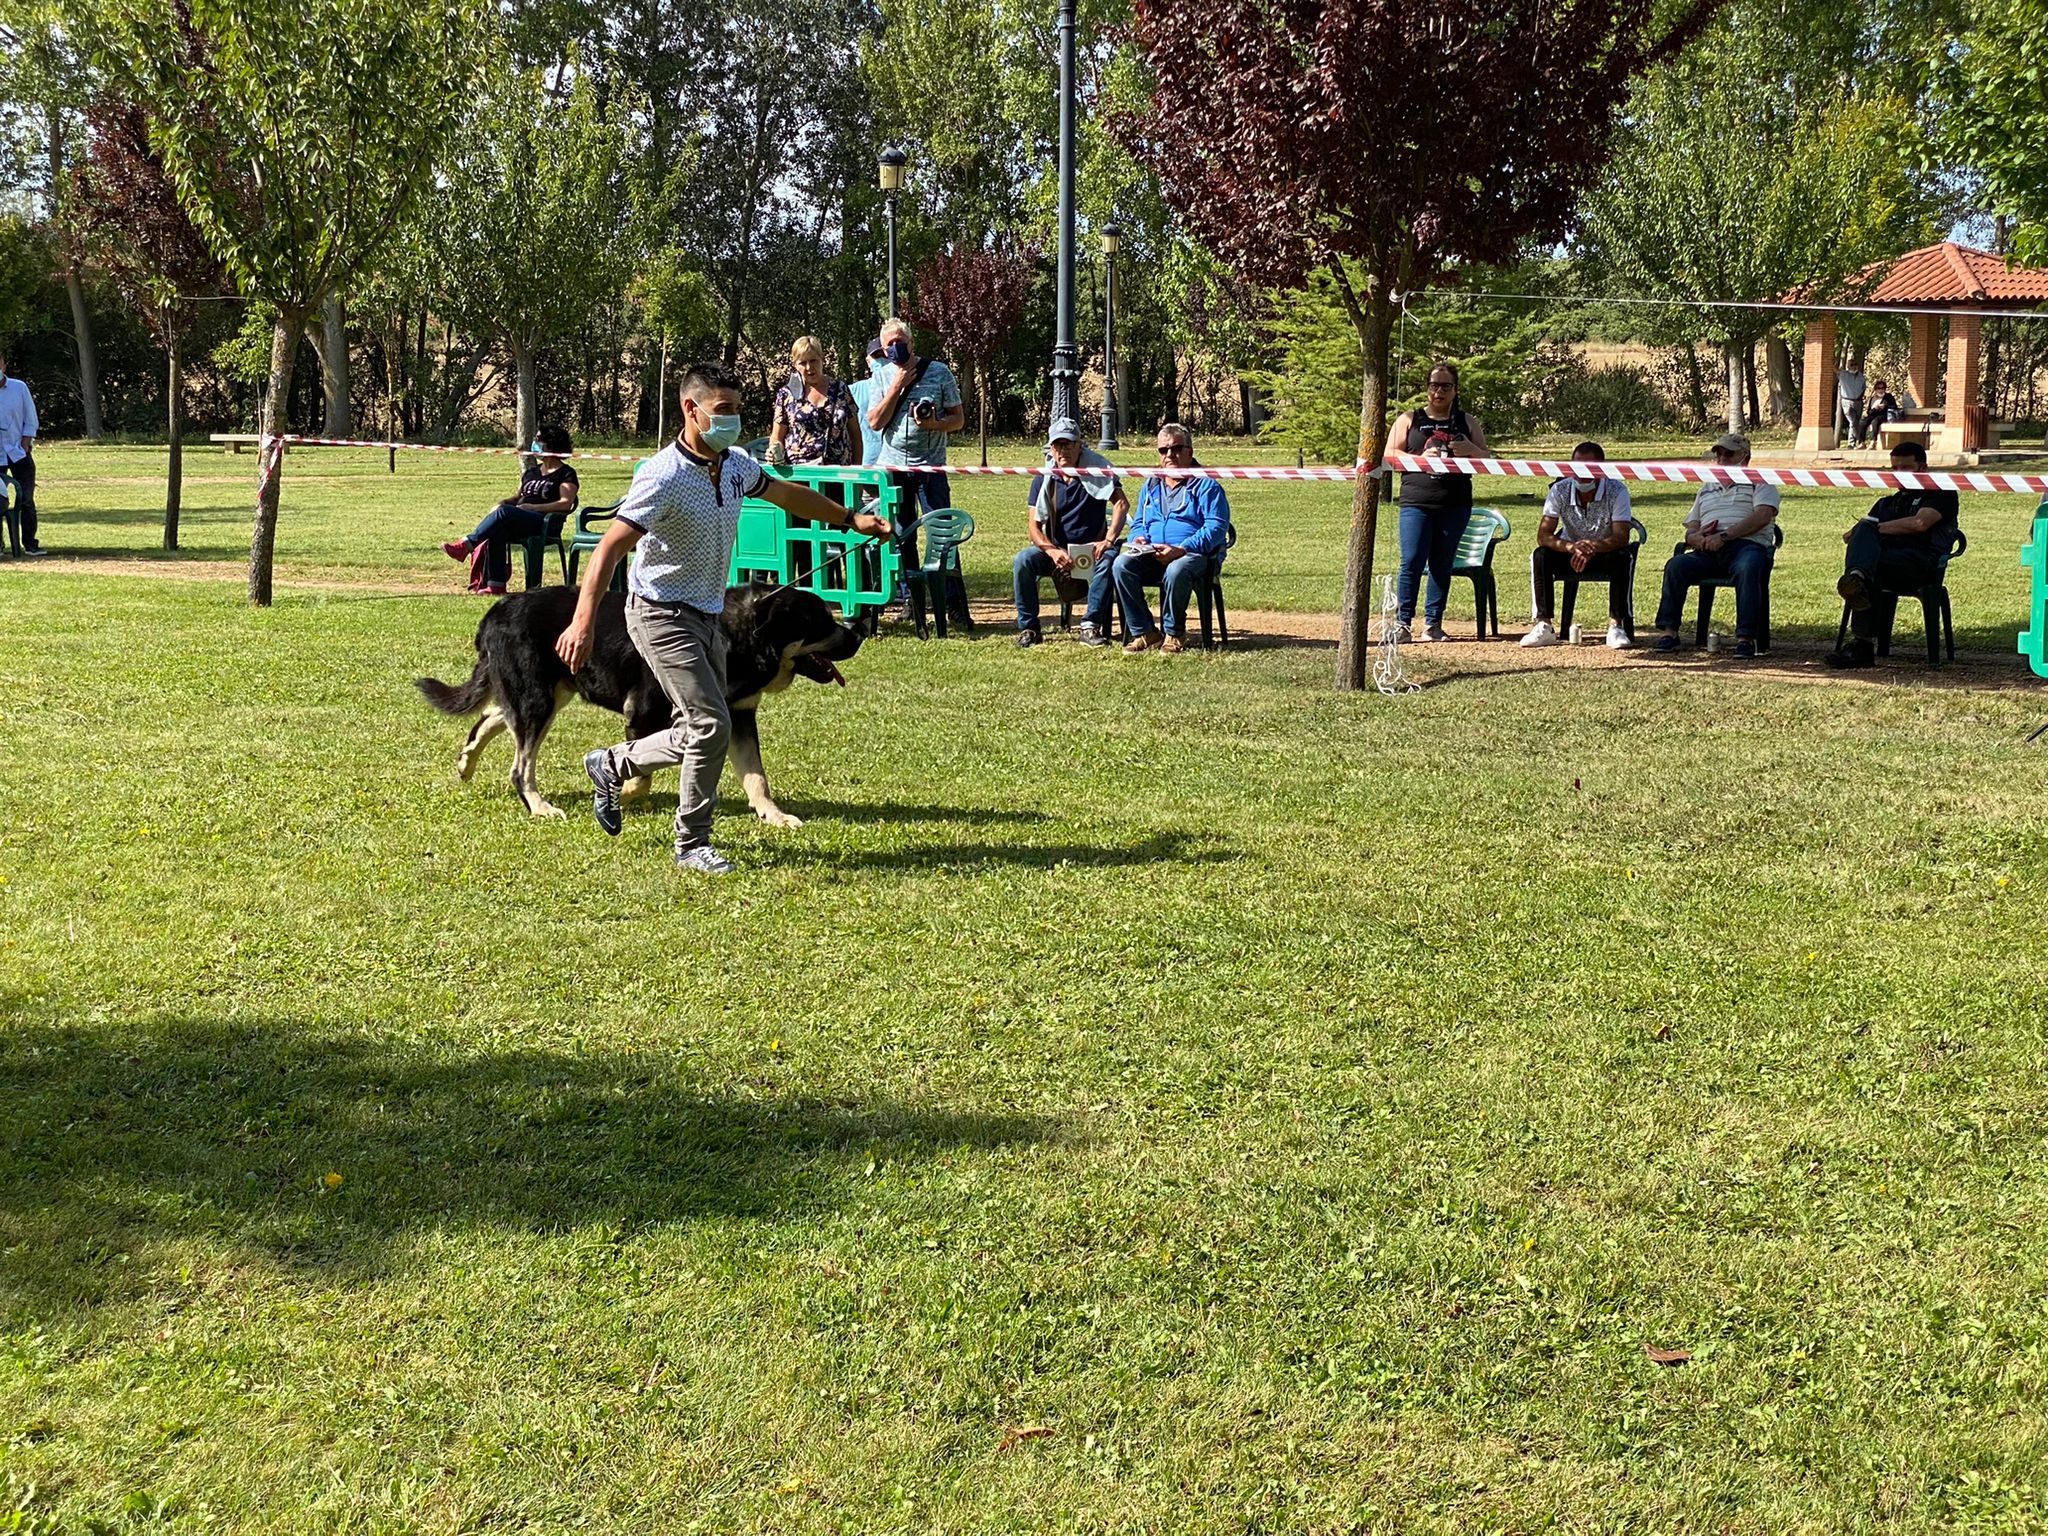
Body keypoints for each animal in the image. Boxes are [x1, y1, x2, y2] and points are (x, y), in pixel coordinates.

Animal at [415, 585, 864, 831]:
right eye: (821, 622)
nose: (858, 635)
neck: (739, 637)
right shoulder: (645, 712)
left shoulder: (736, 716)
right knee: (519, 762)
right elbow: (640, 771)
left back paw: (466, 762)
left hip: (550, 691)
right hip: (539, 697)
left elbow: (757, 777)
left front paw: (773, 815)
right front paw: (622, 792)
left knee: (492, 717)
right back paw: (539, 806)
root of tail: (497, 609)